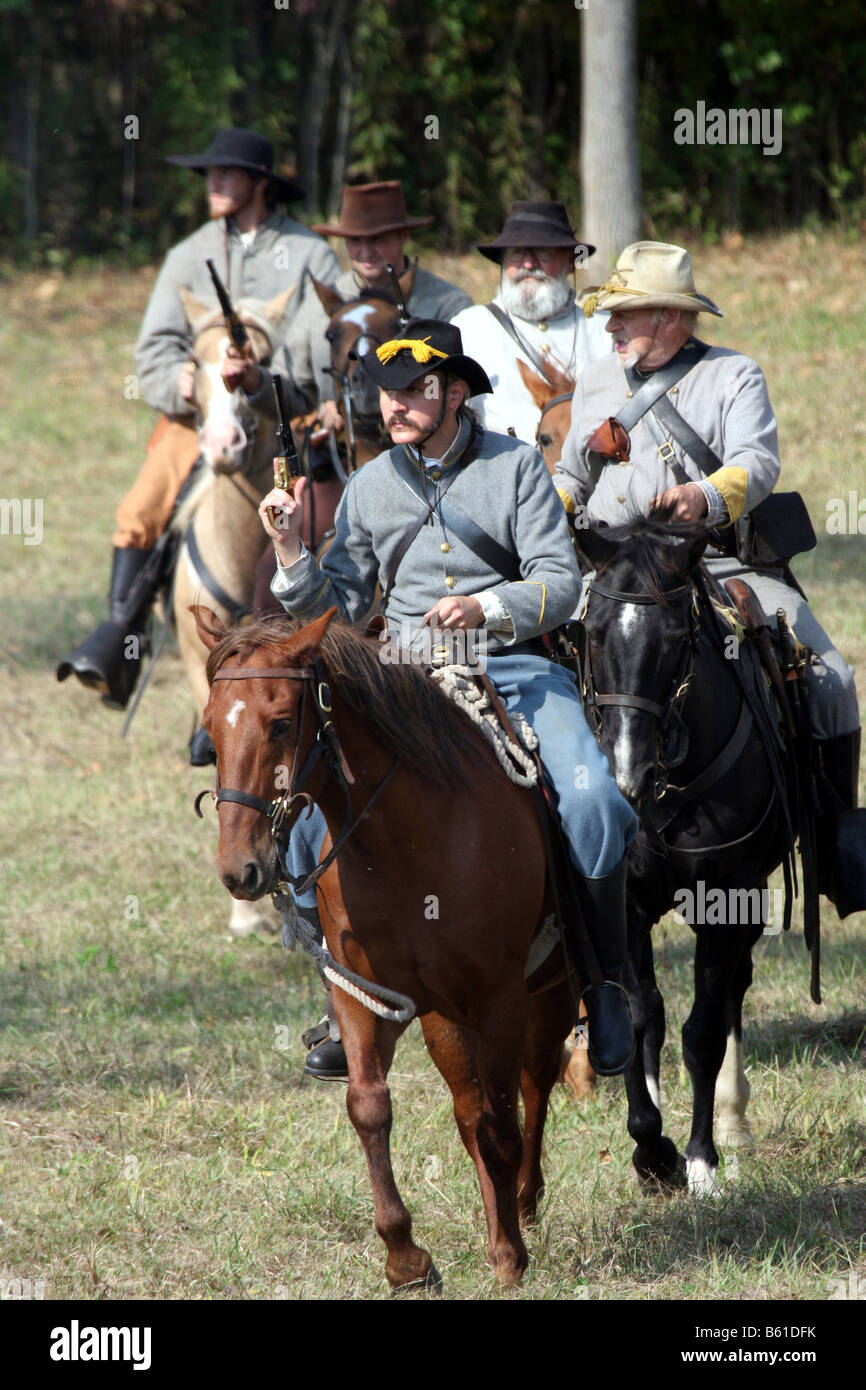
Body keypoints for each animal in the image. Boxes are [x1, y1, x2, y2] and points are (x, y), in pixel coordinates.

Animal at [194, 608, 575, 1289]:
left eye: (281, 723)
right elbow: (371, 1107)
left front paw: (510, 1257)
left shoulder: (500, 997)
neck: (410, 838)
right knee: (472, 1113)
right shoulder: (365, 994)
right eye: (210, 732)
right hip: (447, 1020)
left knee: (534, 1086)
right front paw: (406, 1257)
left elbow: (505, 1123)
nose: (240, 869)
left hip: (552, 987)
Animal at [575, 522, 795, 1195]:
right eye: (592, 632)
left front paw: (700, 1159)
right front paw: (652, 1149)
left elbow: (702, 1033)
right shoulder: (624, 904)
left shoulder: (726, 901)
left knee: (731, 996)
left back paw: (731, 1117)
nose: (627, 775)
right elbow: (639, 1015)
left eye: (675, 641)